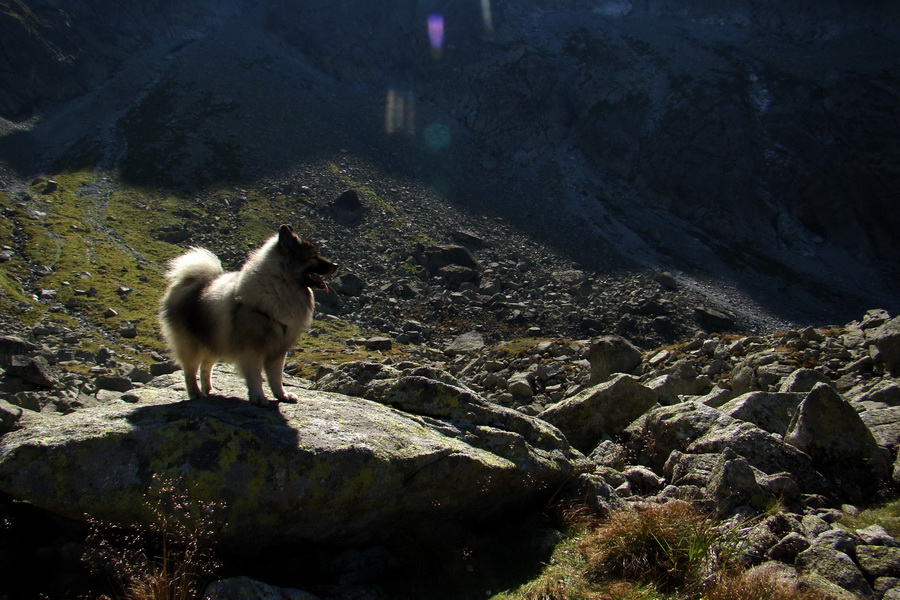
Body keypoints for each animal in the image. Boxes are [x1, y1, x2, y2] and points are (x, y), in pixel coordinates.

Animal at [158, 225, 338, 408]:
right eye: (313, 256)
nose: (336, 265)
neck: (279, 285)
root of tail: (190, 282)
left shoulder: (278, 350)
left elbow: (276, 377)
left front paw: (282, 395)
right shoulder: (252, 349)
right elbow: (256, 376)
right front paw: (258, 397)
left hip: (216, 340)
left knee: (205, 367)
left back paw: (209, 390)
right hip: (192, 344)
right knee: (190, 369)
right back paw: (195, 393)